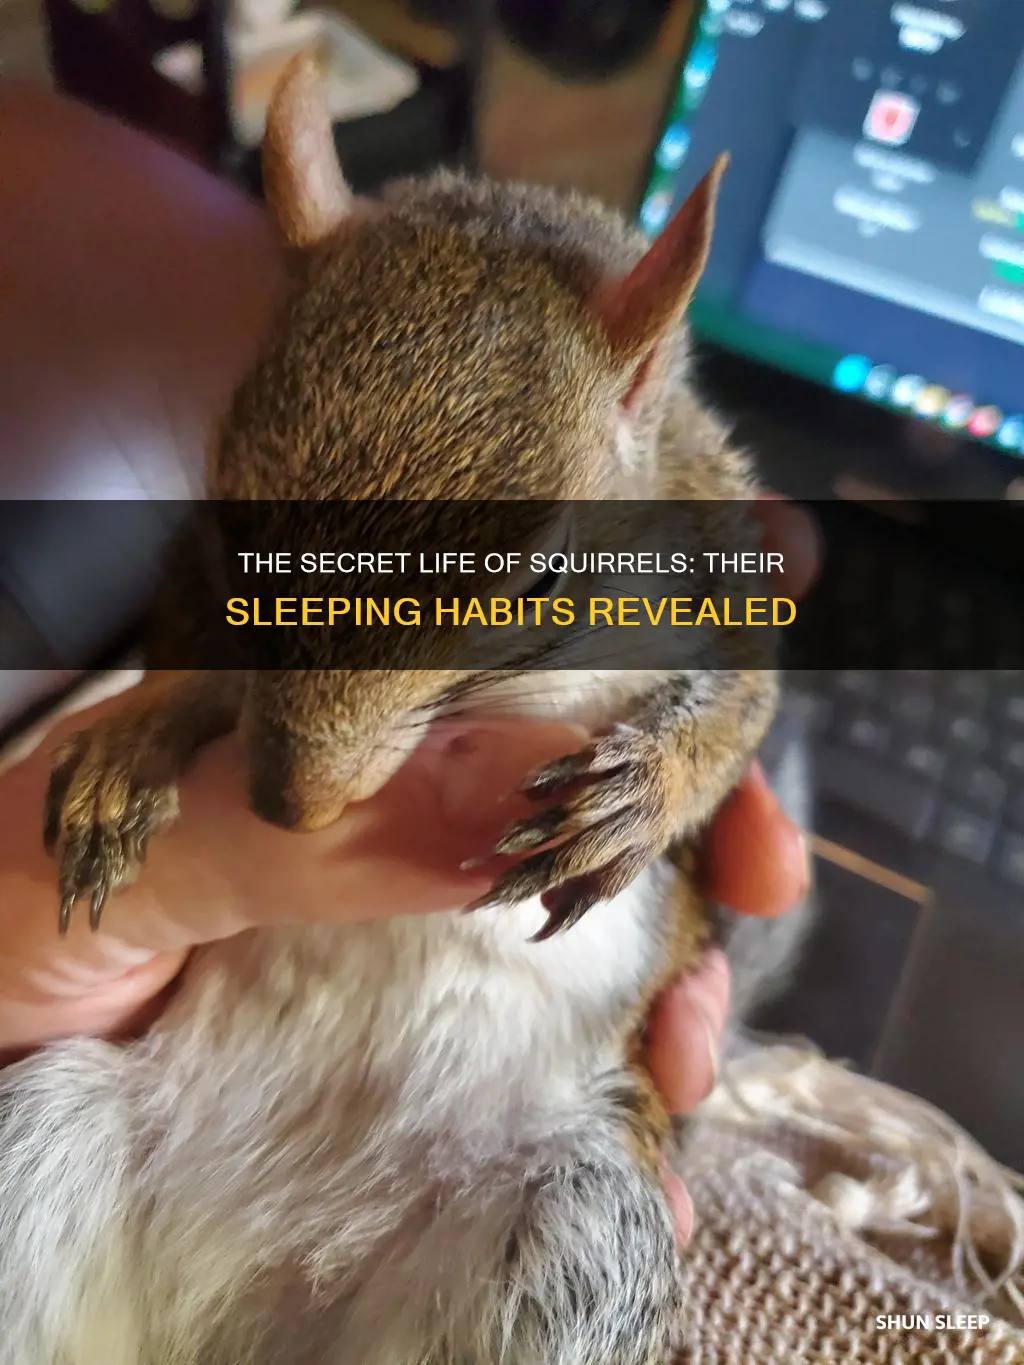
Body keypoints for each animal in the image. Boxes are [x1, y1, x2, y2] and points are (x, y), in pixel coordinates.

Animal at [0, 56, 795, 1365]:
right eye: (228, 511)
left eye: (533, 583)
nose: (289, 809)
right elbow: (186, 662)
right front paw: (126, 745)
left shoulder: (732, 579)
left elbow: (735, 719)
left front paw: (636, 797)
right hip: (40, 1134)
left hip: (577, 1238)